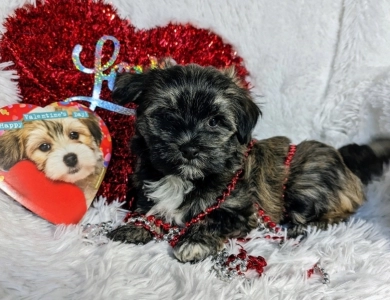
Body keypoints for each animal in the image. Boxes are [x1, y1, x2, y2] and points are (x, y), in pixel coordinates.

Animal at [106, 61, 390, 262]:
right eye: (167, 115)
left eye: (214, 121)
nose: (189, 148)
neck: (183, 178)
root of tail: (345, 163)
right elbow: (148, 210)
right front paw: (132, 228)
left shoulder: (241, 211)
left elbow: (212, 219)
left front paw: (194, 242)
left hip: (307, 180)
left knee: (337, 212)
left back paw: (301, 227)